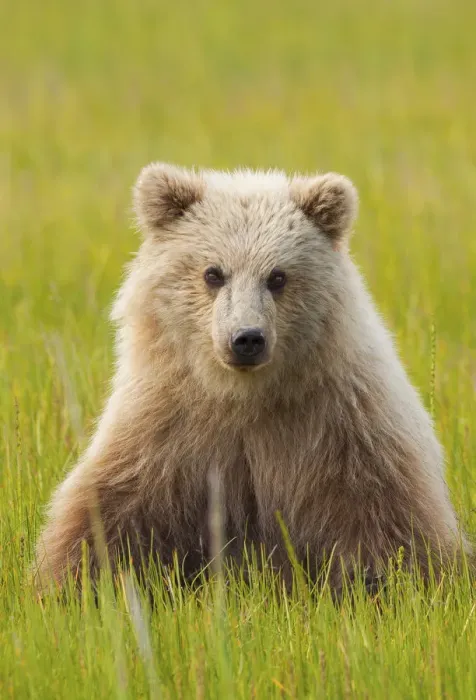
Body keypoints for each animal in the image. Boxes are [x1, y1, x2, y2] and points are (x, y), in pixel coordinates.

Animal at [33, 162, 468, 595]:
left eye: (277, 276)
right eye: (213, 273)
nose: (246, 338)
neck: (243, 395)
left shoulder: (347, 427)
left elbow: (387, 522)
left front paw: (392, 585)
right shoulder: (164, 429)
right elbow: (111, 511)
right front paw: (71, 582)